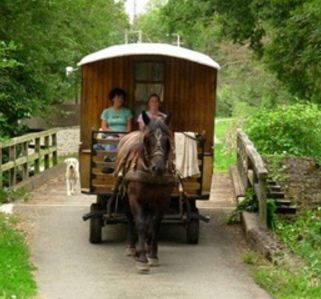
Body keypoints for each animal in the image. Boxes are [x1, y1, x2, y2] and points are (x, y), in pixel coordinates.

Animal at [114, 111, 175, 274]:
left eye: (167, 140)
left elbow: (155, 224)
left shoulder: (162, 200)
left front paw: (152, 255)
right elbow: (140, 223)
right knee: (130, 219)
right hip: (126, 197)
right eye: (147, 139)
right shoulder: (135, 198)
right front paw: (141, 259)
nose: (158, 168)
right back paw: (132, 248)